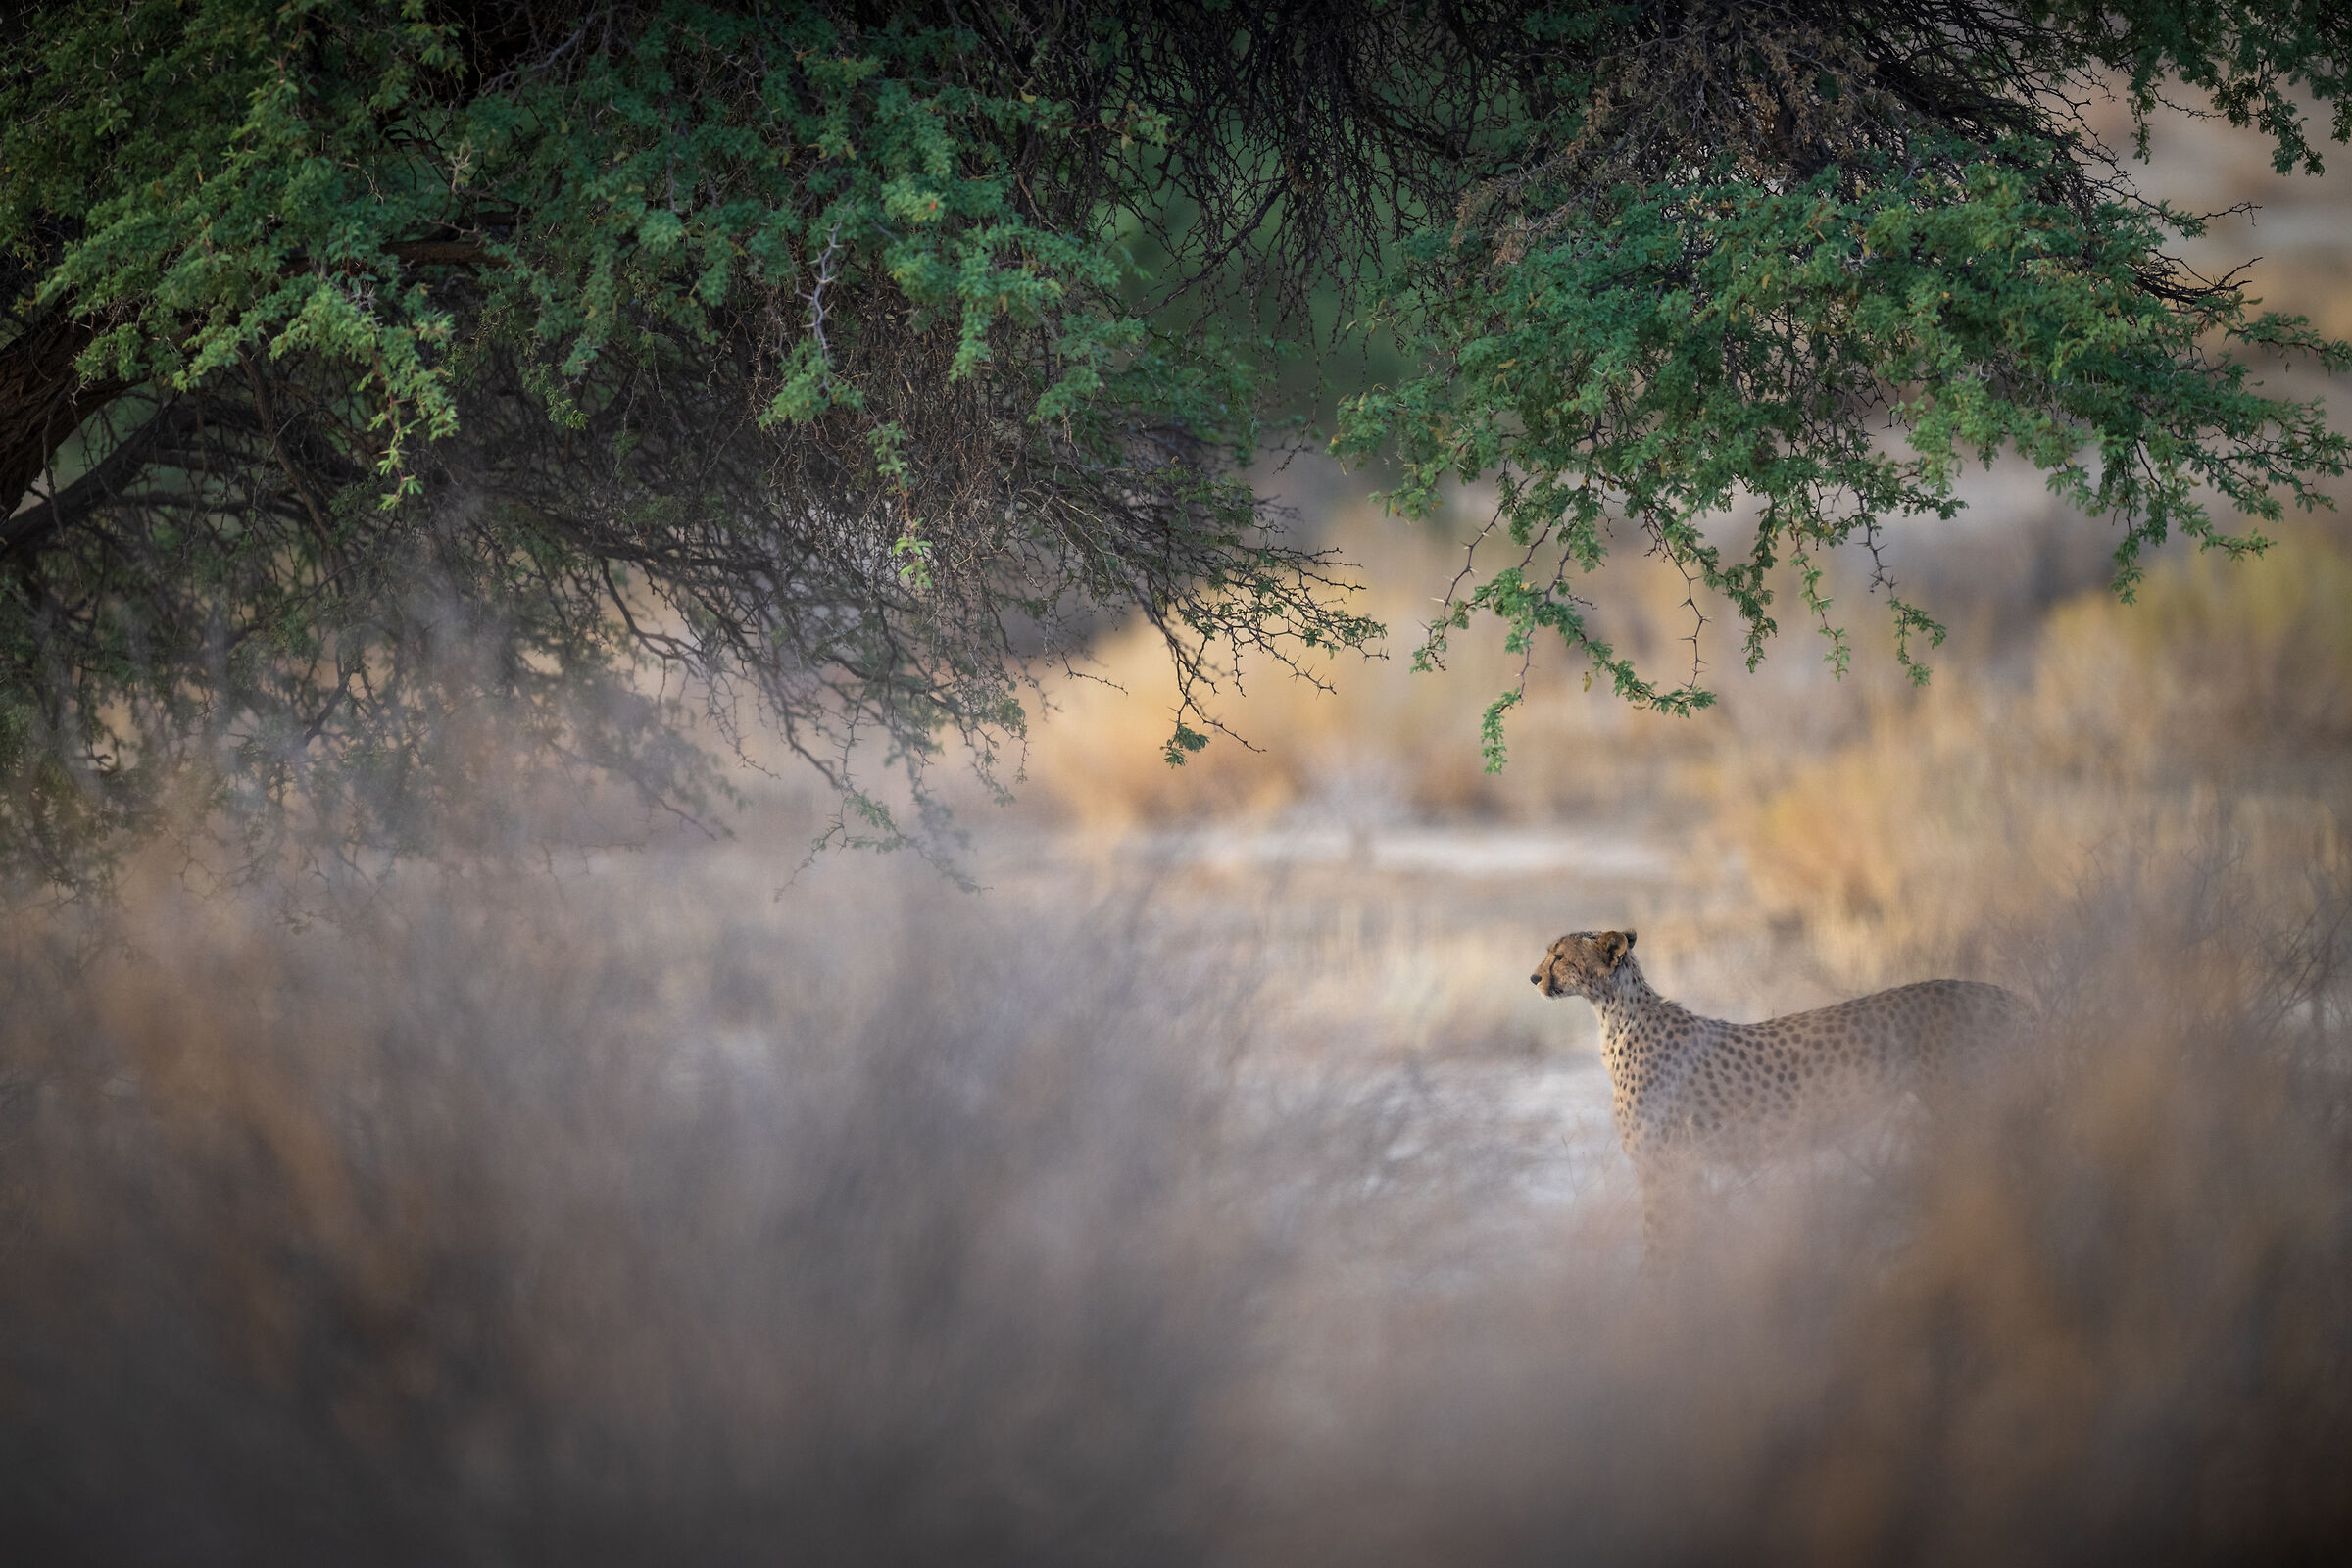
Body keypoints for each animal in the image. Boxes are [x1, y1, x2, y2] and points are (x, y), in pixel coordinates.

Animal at [1531, 929, 2030, 1254]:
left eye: (1559, 956)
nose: (1534, 978)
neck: (1616, 1018)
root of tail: (2009, 995)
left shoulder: (1663, 1167)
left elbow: (1661, 1249)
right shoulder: (1688, 1169)